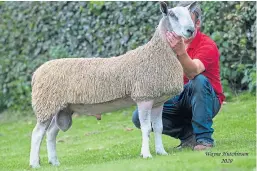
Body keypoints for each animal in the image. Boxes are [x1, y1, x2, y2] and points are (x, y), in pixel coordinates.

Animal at [28, 1, 196, 167]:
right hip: (46, 105)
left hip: (62, 108)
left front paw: (161, 152)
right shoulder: (144, 97)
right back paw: (35, 164)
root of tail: (36, 73)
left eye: (190, 14)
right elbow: (146, 128)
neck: (157, 53)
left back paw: (54, 162)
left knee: (51, 133)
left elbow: (158, 127)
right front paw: (146, 154)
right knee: (37, 133)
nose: (191, 30)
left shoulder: (158, 101)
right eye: (172, 15)